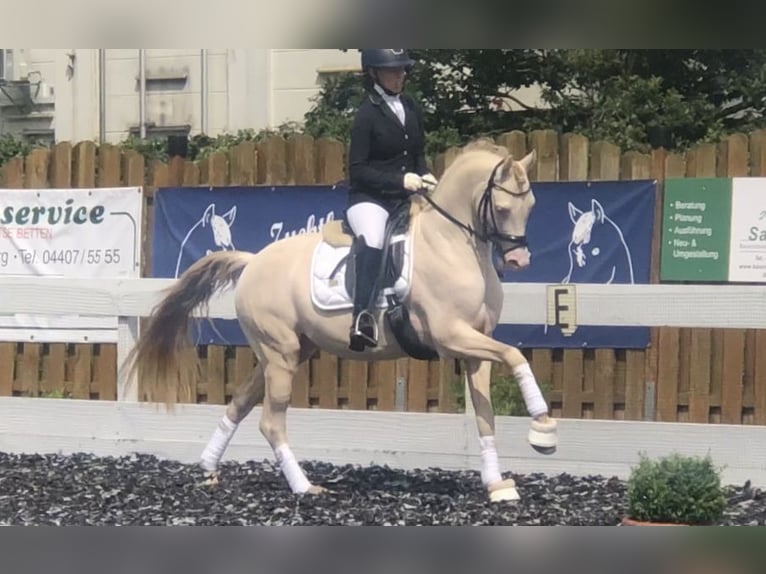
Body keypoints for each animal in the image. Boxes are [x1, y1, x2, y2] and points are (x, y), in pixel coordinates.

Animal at [124, 139, 559, 503]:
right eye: (502, 209)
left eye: (532, 206)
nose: (518, 261)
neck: (452, 244)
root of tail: (252, 262)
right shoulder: (451, 336)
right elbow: (516, 355)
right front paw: (543, 430)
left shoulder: (475, 345)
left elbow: (486, 415)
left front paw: (497, 484)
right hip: (280, 354)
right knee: (270, 422)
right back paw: (304, 487)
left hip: (286, 352)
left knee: (241, 403)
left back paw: (209, 468)